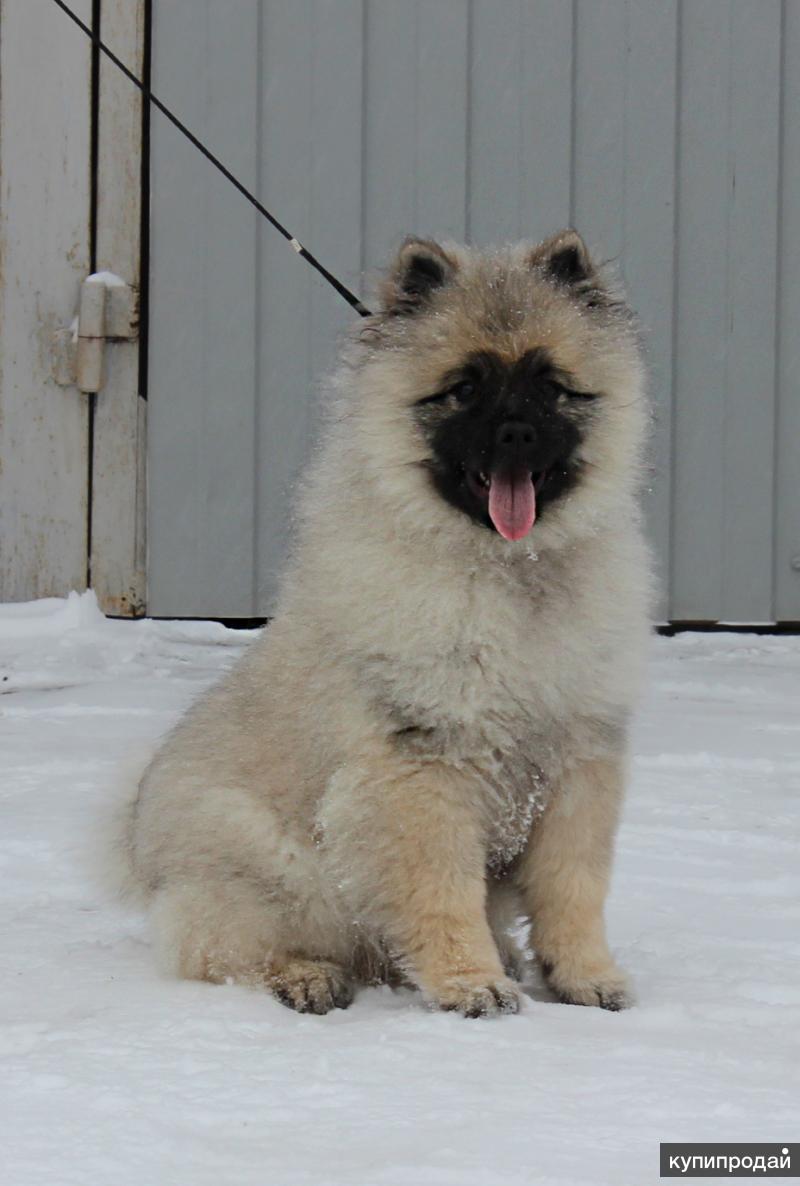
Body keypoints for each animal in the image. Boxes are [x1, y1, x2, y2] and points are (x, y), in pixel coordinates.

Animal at [125, 233, 649, 1019]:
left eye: (550, 385)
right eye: (464, 389)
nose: (516, 431)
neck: (509, 575)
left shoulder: (578, 765)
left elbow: (573, 890)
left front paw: (583, 975)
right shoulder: (424, 767)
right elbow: (443, 894)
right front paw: (470, 983)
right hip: (281, 869)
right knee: (224, 949)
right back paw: (306, 977)